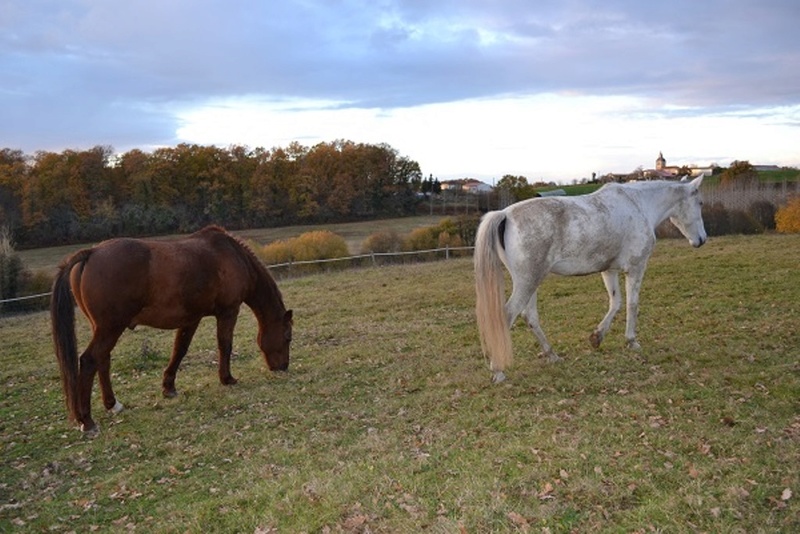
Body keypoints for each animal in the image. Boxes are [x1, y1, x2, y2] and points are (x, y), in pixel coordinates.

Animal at [50, 226, 294, 436]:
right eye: (287, 337)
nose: (282, 367)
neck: (232, 256)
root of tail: (92, 252)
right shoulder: (228, 312)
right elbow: (225, 345)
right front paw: (227, 378)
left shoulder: (191, 319)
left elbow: (180, 350)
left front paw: (169, 387)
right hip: (110, 328)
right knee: (90, 360)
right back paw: (87, 421)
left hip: (103, 329)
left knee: (103, 359)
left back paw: (112, 404)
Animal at [476, 178, 708, 384]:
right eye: (700, 203)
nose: (701, 240)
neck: (638, 204)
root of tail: (504, 214)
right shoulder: (636, 268)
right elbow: (632, 304)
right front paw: (631, 341)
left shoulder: (609, 271)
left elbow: (616, 303)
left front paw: (597, 337)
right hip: (528, 282)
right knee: (508, 316)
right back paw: (498, 371)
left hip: (531, 282)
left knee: (530, 316)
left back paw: (552, 355)